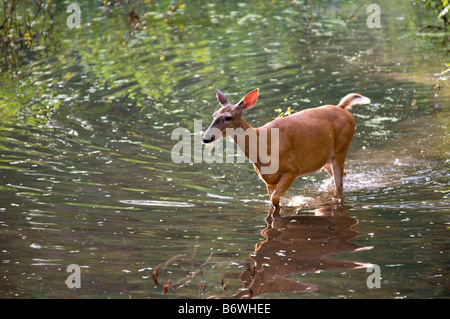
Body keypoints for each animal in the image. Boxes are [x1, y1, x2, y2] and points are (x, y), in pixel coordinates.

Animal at [202, 86, 370, 210]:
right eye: (213, 115)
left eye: (228, 117)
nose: (206, 138)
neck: (261, 145)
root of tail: (342, 108)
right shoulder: (268, 180)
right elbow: (273, 200)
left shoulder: (293, 168)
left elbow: (276, 199)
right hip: (325, 159)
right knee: (343, 176)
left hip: (341, 148)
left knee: (339, 185)